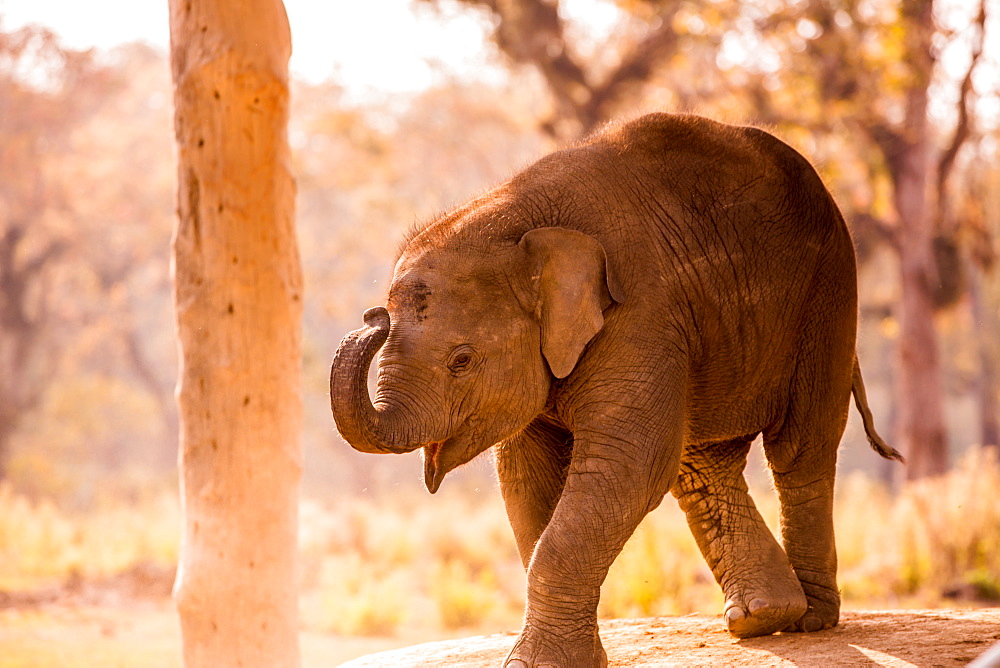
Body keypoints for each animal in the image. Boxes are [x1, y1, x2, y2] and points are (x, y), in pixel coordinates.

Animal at [332, 115, 904, 668]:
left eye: (462, 360)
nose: (373, 316)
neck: (517, 224)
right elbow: (526, 477)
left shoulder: (640, 313)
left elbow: (627, 464)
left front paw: (539, 663)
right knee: (701, 464)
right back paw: (763, 617)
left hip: (828, 293)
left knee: (799, 449)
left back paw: (810, 620)